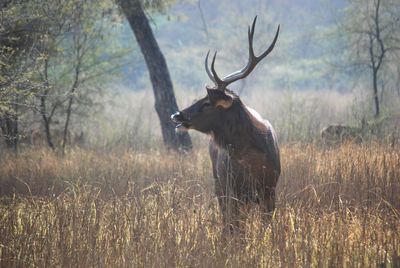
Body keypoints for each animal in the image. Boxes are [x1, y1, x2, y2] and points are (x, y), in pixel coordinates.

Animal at [170, 16, 280, 231]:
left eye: (206, 103)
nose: (177, 115)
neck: (253, 162)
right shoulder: (232, 188)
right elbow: (234, 225)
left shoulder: (270, 190)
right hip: (218, 181)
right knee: (225, 217)